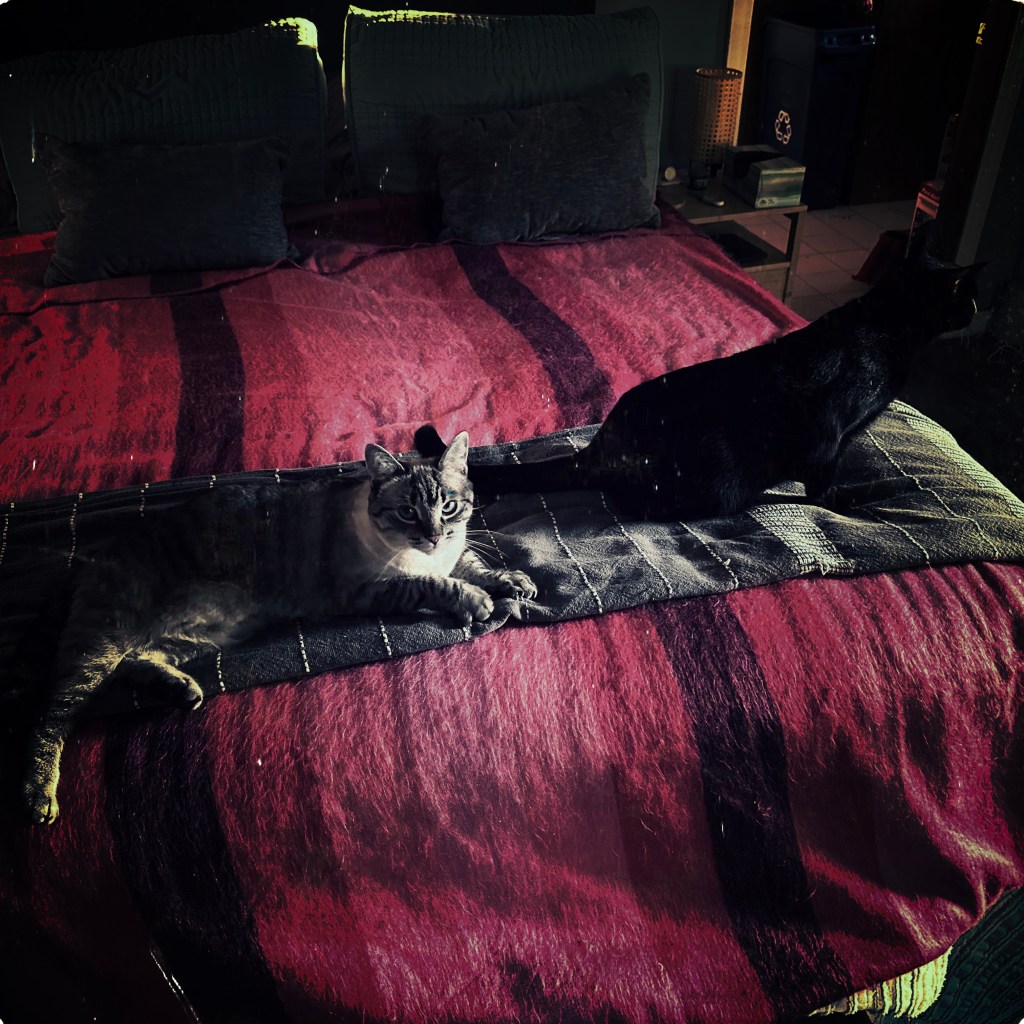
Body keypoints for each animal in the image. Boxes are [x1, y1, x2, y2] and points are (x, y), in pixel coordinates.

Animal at [23, 431, 536, 824]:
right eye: (407, 512)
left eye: (448, 507)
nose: (432, 534)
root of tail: (89, 560)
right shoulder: (368, 591)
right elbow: (436, 585)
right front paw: (476, 601)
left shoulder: (453, 554)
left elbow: (473, 564)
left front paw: (511, 580)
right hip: (102, 640)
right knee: (55, 710)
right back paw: (39, 797)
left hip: (208, 631)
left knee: (136, 659)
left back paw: (181, 688)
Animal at [417, 234, 981, 521]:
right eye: (968, 297)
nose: (981, 309)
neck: (886, 321)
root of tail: (597, 449)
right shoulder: (829, 432)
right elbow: (825, 489)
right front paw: (866, 499)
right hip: (715, 482)